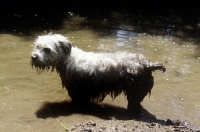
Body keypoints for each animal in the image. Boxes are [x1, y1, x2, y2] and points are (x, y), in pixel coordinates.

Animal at [30, 33, 166, 113]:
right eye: (37, 46)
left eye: (47, 49)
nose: (33, 57)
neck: (66, 58)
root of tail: (147, 65)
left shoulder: (76, 92)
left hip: (134, 93)